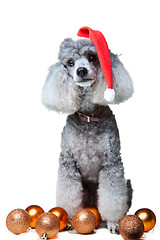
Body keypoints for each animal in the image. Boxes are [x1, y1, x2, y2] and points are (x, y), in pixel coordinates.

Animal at [41, 37, 134, 234]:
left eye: (92, 57)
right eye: (70, 62)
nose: (81, 70)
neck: (89, 118)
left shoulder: (111, 163)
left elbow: (112, 195)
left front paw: (113, 223)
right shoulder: (68, 164)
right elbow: (68, 193)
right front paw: (67, 219)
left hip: (127, 185)